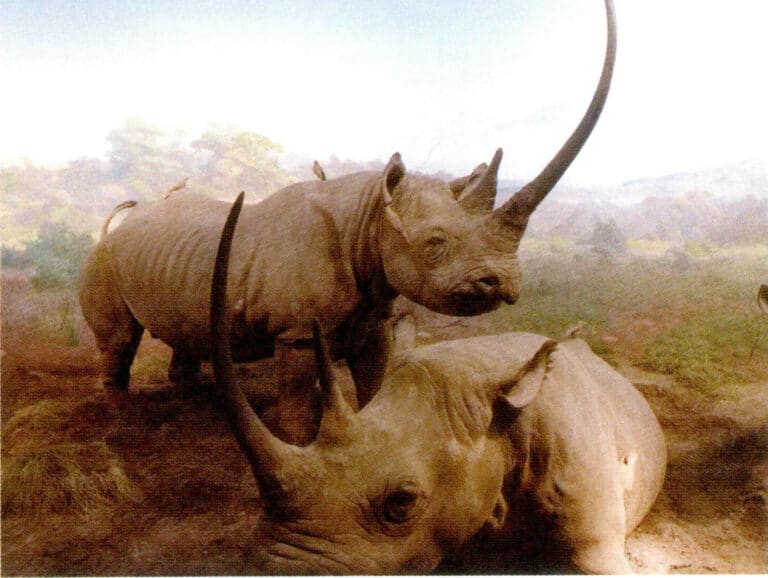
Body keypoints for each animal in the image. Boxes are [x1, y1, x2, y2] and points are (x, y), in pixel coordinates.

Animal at [79, 0, 617, 433]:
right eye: (434, 244)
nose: (502, 283)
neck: (369, 216)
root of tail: (110, 231)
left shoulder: (375, 315)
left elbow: (374, 384)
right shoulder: (296, 332)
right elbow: (297, 405)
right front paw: (298, 443)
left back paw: (189, 405)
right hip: (103, 260)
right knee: (119, 340)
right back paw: (120, 422)